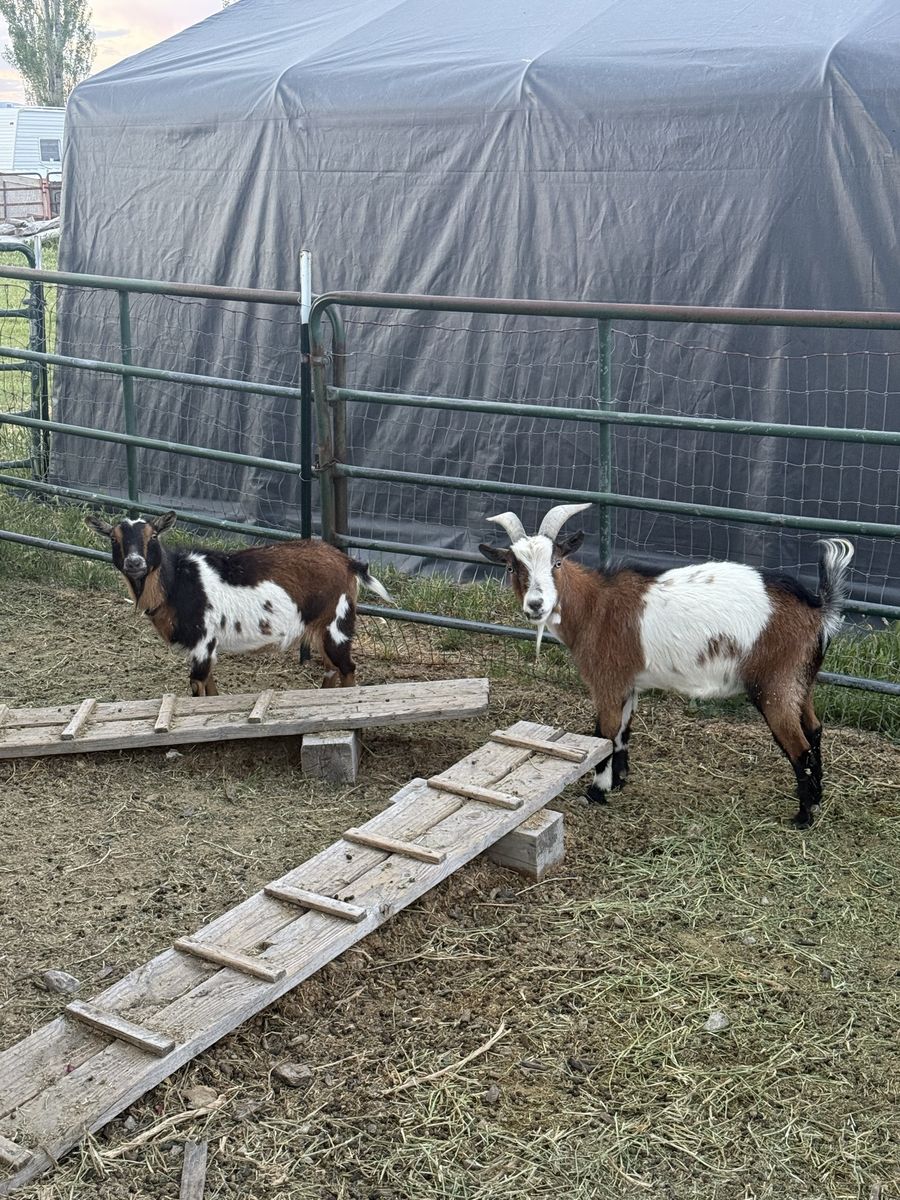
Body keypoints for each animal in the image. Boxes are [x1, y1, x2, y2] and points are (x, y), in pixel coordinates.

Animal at [86, 511, 393, 695]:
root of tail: (347, 562)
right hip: (320, 628)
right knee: (332, 668)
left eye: (153, 536)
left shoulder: (203, 641)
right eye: (113, 538)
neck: (178, 582)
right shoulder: (204, 648)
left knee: (347, 668)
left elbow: (197, 685)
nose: (134, 563)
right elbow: (209, 686)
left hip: (336, 623)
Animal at [480, 503, 854, 828]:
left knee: (800, 747)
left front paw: (596, 792)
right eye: (512, 567)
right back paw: (817, 798)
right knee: (815, 729)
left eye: (556, 562)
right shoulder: (628, 682)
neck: (595, 606)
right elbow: (622, 734)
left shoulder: (606, 681)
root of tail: (820, 608)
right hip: (802, 680)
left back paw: (803, 817)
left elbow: (603, 735)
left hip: (776, 684)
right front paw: (619, 782)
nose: (536, 605)